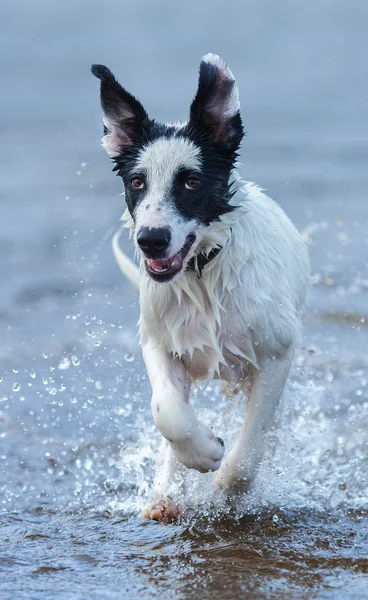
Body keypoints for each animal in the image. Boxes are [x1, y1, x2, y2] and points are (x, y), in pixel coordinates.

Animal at [91, 52, 308, 520]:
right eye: (137, 182)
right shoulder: (159, 341)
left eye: (191, 182)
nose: (151, 240)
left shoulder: (276, 354)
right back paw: (162, 496)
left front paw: (224, 486)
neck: (202, 273)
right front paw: (203, 452)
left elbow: (248, 452)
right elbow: (166, 411)